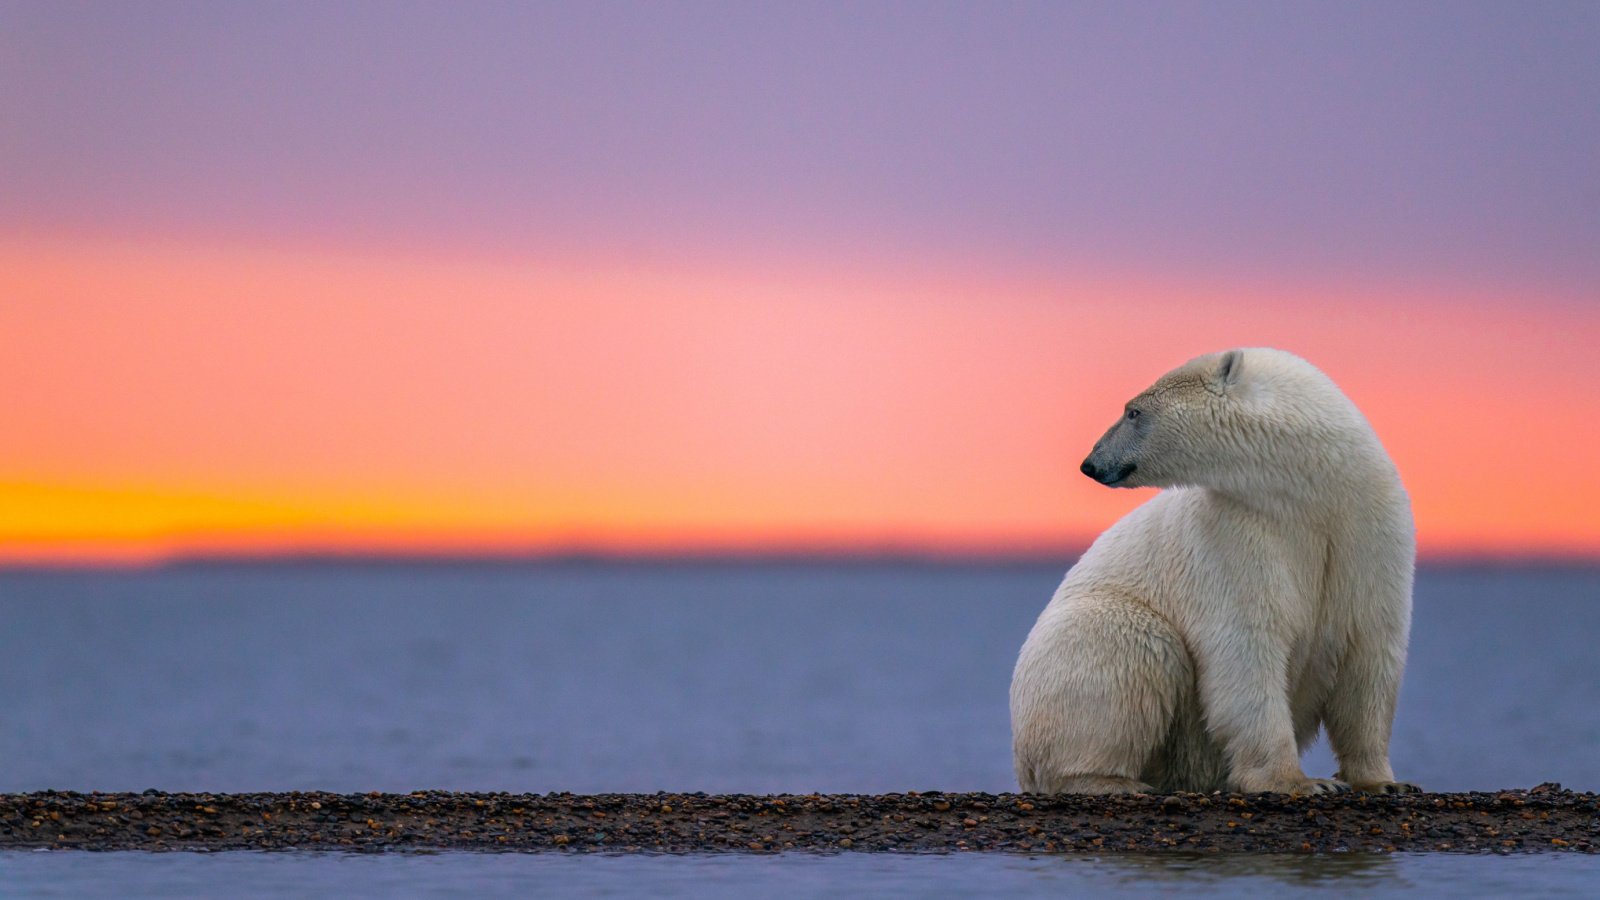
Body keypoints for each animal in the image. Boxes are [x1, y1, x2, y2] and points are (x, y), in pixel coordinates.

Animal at [1011, 344, 1414, 791]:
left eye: (1133, 412)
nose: (1091, 463)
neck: (1312, 495)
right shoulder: (1233, 535)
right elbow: (1247, 648)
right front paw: (1300, 782)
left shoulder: (1367, 531)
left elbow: (1369, 654)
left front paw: (1383, 781)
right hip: (1088, 637)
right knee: (1133, 646)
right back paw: (1112, 780)